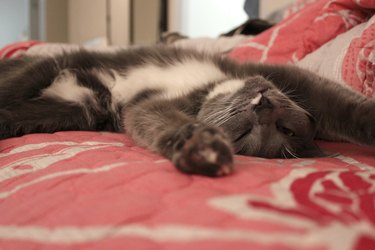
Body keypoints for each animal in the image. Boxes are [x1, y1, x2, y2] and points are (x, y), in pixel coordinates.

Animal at [0, 46, 375, 176]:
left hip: (60, 111)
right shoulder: (288, 77)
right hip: (50, 69)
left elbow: (152, 116)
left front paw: (200, 149)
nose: (264, 105)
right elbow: (338, 102)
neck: (209, 87)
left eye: (284, 129)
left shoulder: (144, 106)